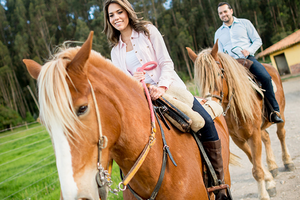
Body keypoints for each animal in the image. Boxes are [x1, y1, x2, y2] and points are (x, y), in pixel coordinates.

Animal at [186, 43, 294, 200]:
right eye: (199, 82)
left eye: (219, 74)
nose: (210, 105)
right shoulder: (239, 139)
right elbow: (254, 163)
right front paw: (269, 182)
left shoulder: (253, 135)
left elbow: (257, 168)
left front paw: (264, 194)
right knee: (267, 138)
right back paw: (273, 167)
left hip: (281, 113)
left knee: (281, 134)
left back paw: (288, 162)